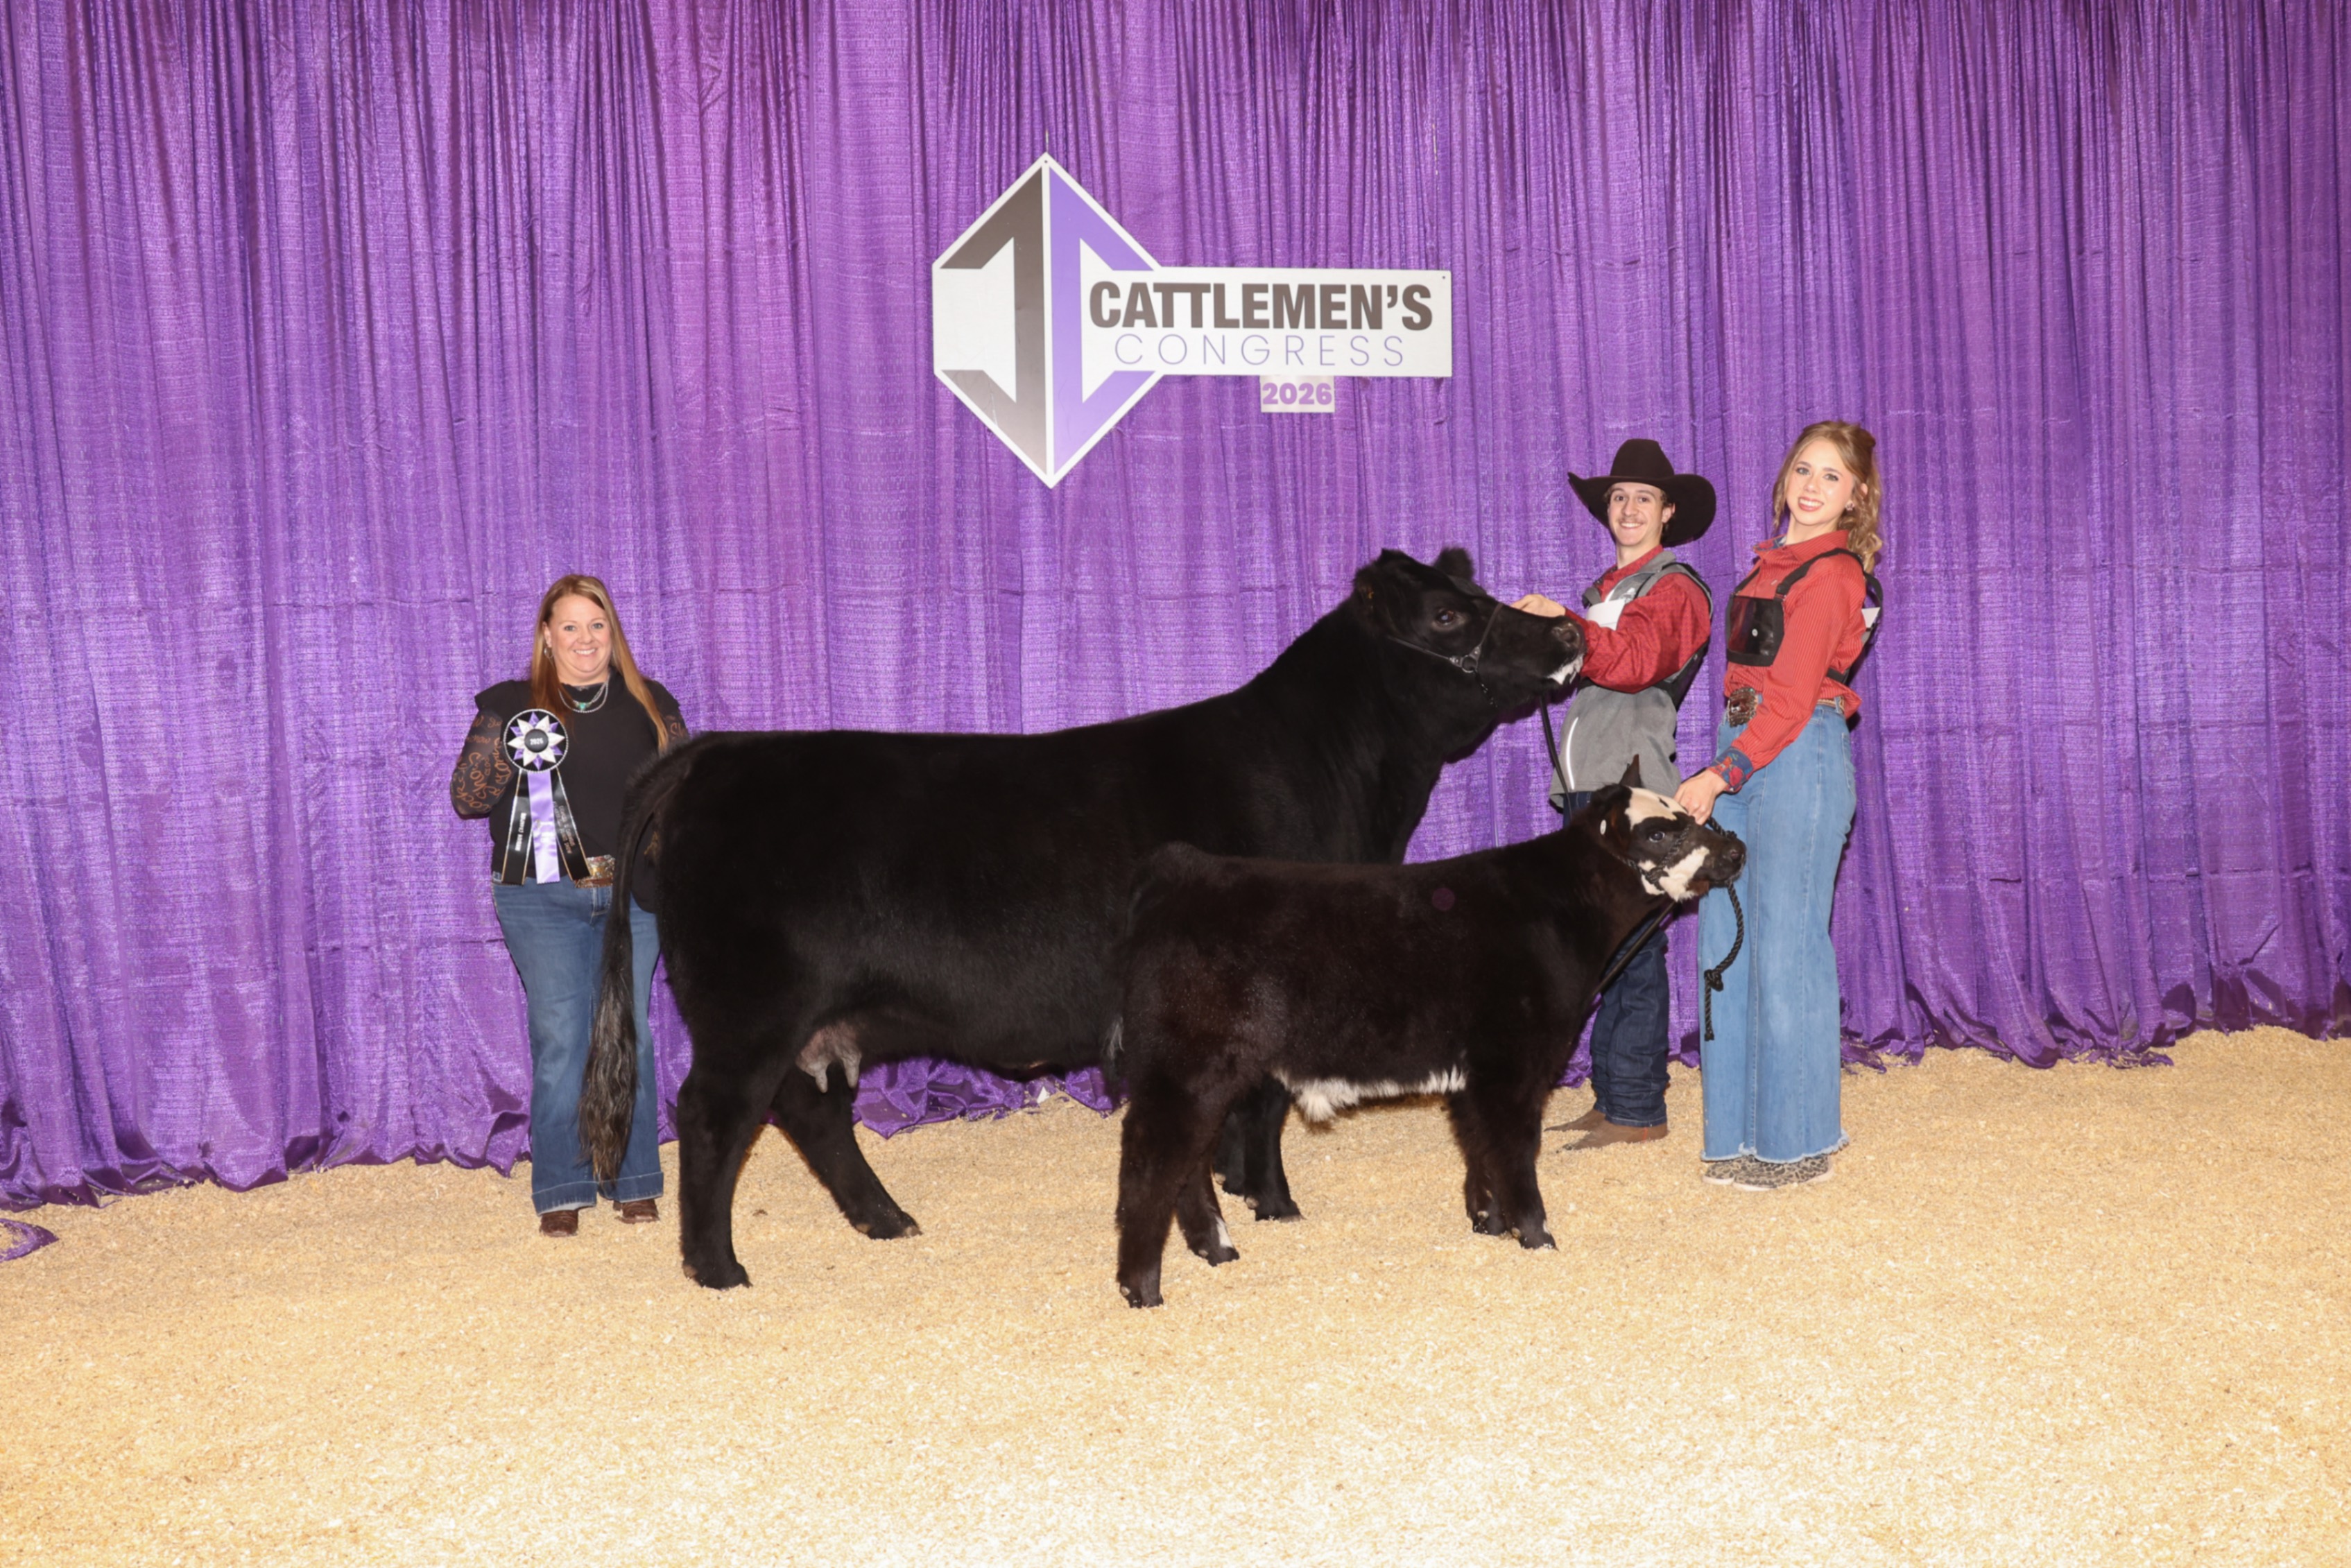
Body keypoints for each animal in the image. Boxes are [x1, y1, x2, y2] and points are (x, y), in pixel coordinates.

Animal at [581, 548, 1585, 1289]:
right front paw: (1272, 1202)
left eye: (1479, 595)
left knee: (808, 1111)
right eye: (1447, 618)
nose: (1566, 627)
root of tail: (722, 751)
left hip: (807, 1016)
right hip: (748, 1003)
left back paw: (887, 1219)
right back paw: (717, 1267)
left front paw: (1239, 1192)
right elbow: (1263, 1103)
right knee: (713, 1115)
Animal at [1107, 769, 1746, 1307]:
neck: (1561, 914)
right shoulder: (1511, 1065)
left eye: (1686, 813)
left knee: (1190, 1162)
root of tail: (1181, 869)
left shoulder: (1475, 1073)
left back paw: (1216, 1248)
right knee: (1152, 1163)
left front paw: (1489, 1222)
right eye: (1660, 831)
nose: (1736, 849)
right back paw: (1143, 1287)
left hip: (1210, 1073)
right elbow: (1515, 1151)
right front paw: (1537, 1236)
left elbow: (1480, 1148)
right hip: (1188, 1067)